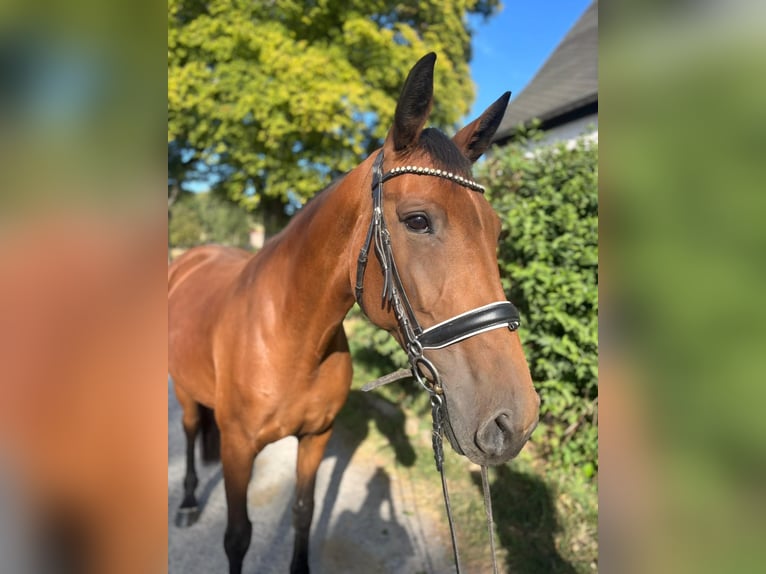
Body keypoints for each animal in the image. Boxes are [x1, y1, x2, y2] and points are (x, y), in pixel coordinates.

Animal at [168, 52, 540, 574]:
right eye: (417, 220)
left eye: (497, 229)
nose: (513, 421)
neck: (291, 339)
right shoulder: (240, 449)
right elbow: (238, 537)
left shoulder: (316, 438)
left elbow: (304, 512)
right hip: (182, 391)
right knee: (186, 429)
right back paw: (185, 501)